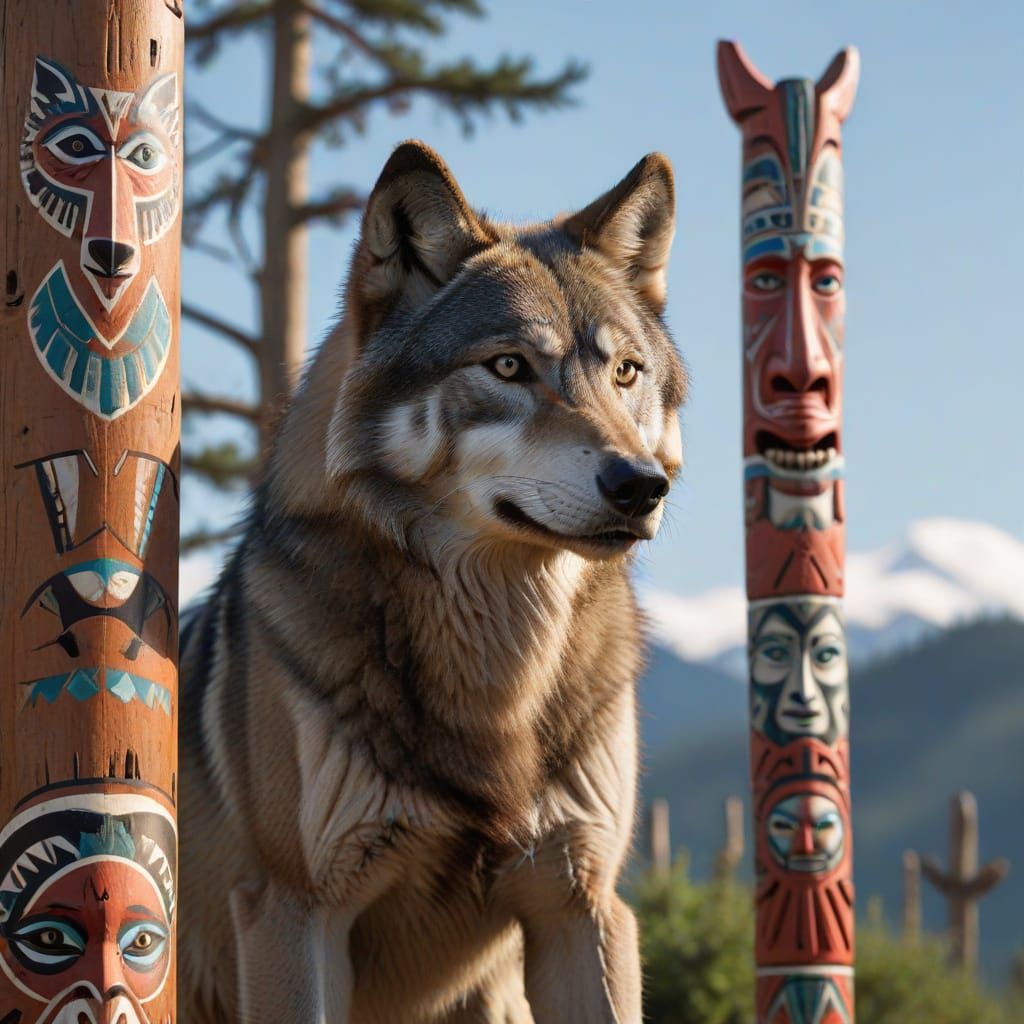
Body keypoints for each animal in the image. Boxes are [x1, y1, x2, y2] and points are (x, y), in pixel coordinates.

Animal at [180, 140, 686, 1023]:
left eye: (626, 372)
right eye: (509, 367)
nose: (641, 486)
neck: (496, 680)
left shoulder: (583, 904)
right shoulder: (293, 912)